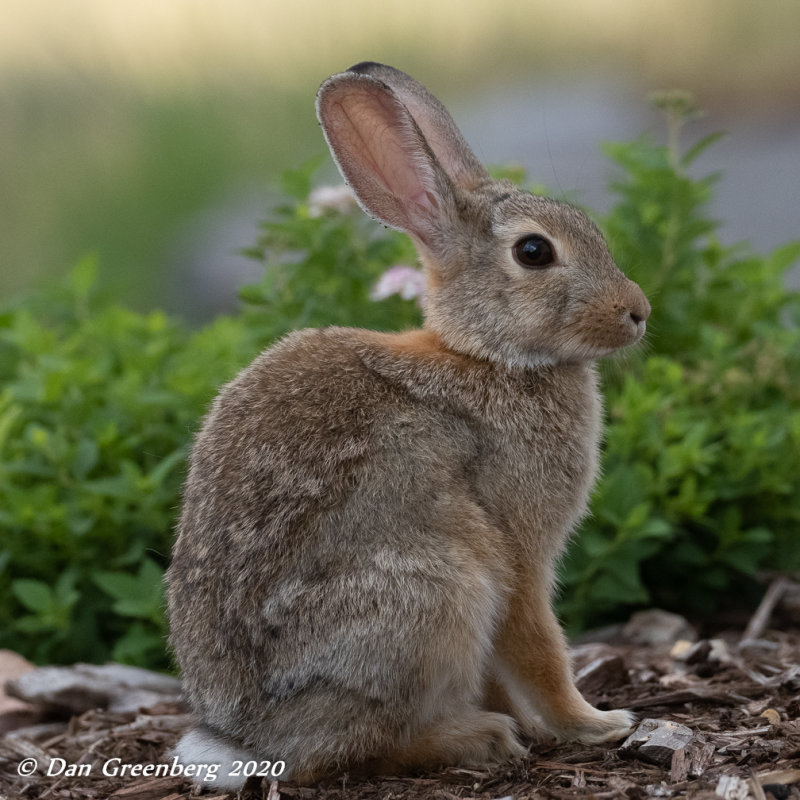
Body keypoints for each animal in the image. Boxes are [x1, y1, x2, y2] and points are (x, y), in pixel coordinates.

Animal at [166, 62, 648, 788]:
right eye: (534, 252)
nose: (638, 312)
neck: (491, 355)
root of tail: (250, 736)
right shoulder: (517, 552)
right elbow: (537, 644)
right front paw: (594, 723)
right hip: (436, 591)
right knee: (350, 750)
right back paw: (476, 738)